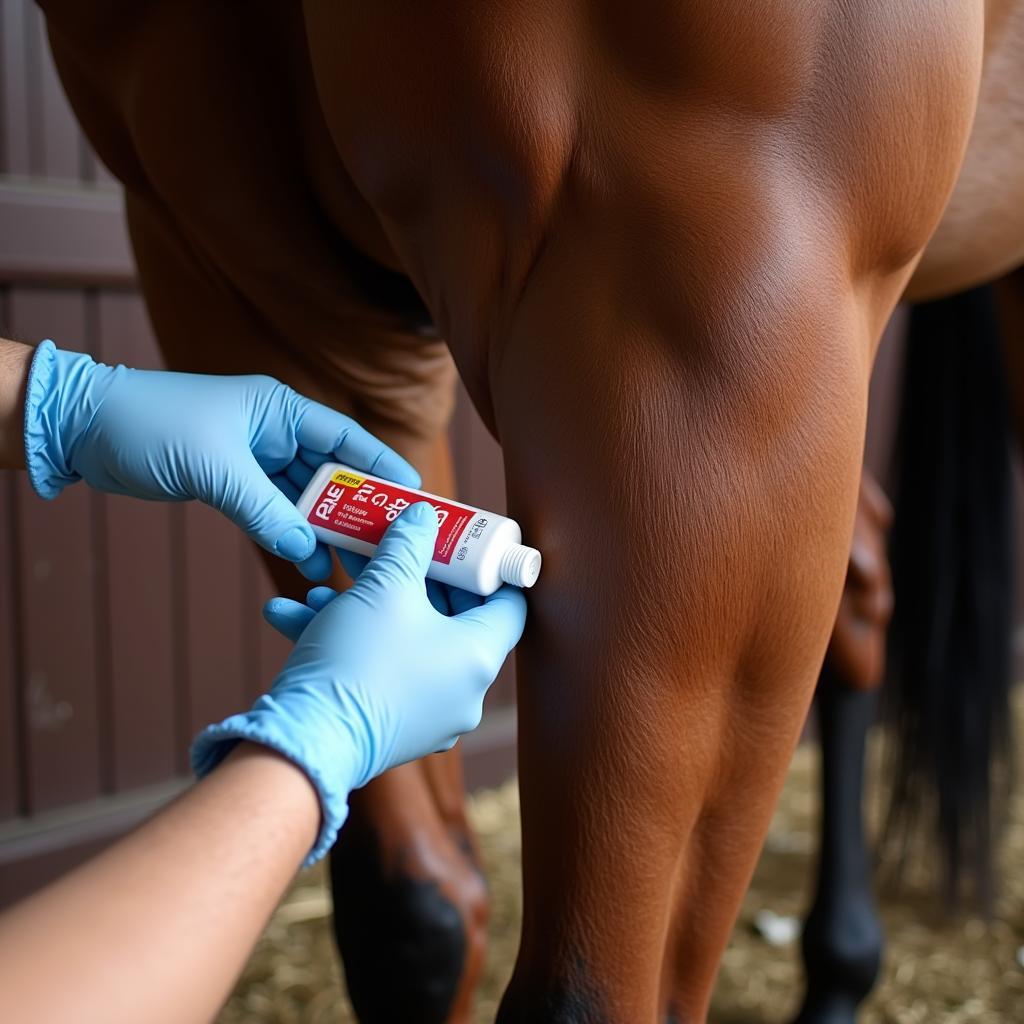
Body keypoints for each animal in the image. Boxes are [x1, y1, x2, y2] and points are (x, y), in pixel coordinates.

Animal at [34, 4, 1024, 1019]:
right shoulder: (231, 269)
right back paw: (838, 976)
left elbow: (588, 991)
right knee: (862, 582)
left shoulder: (716, 338)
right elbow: (414, 912)